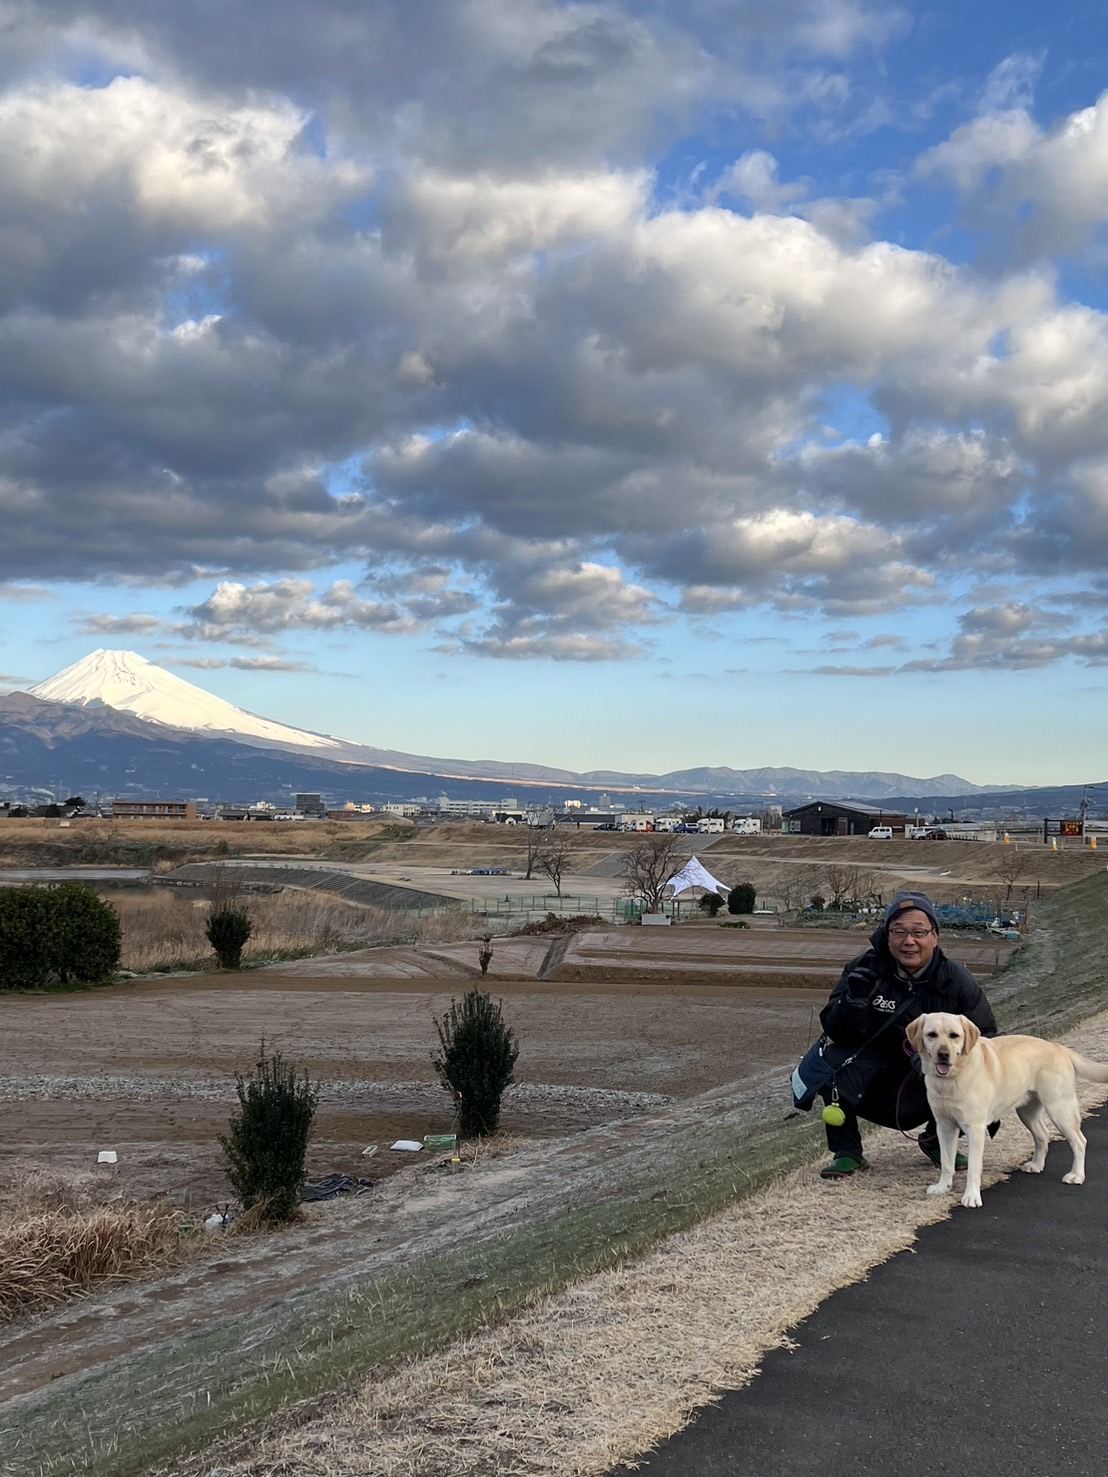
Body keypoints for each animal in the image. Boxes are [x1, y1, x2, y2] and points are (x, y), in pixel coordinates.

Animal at [904, 1016, 1108, 1211]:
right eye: (932, 1034)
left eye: (954, 1035)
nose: (943, 1055)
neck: (951, 1079)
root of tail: (1058, 1047)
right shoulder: (945, 1127)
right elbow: (947, 1163)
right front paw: (942, 1187)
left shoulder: (975, 1129)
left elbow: (973, 1168)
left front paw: (971, 1196)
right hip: (1027, 1112)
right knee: (1043, 1135)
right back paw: (1036, 1165)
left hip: (1059, 1108)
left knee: (1079, 1141)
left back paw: (1076, 1175)